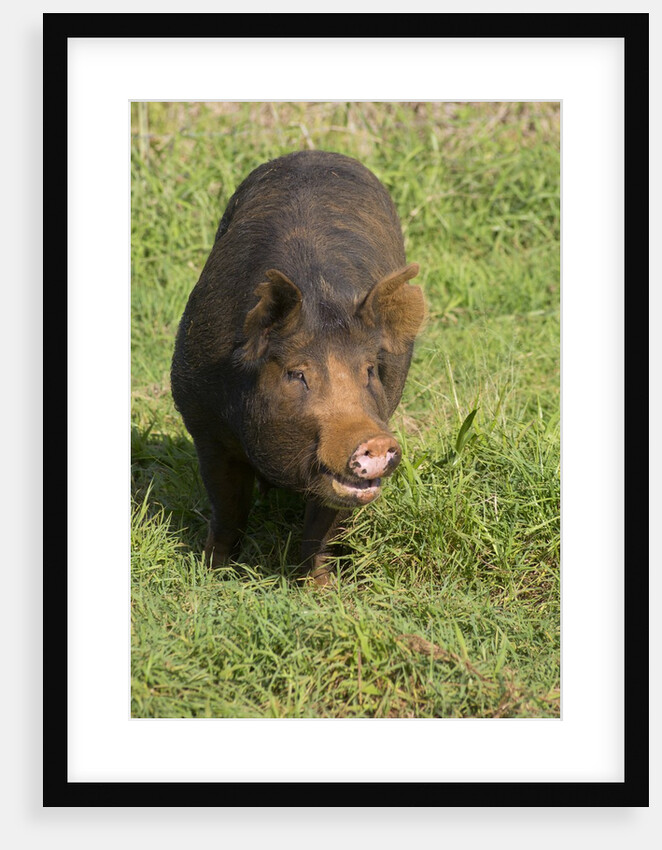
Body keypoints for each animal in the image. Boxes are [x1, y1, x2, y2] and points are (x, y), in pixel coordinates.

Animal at [171, 150, 424, 584]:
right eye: (297, 373)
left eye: (369, 370)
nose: (374, 440)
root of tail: (317, 151)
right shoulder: (203, 421)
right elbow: (227, 507)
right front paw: (213, 574)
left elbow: (323, 527)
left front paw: (319, 588)